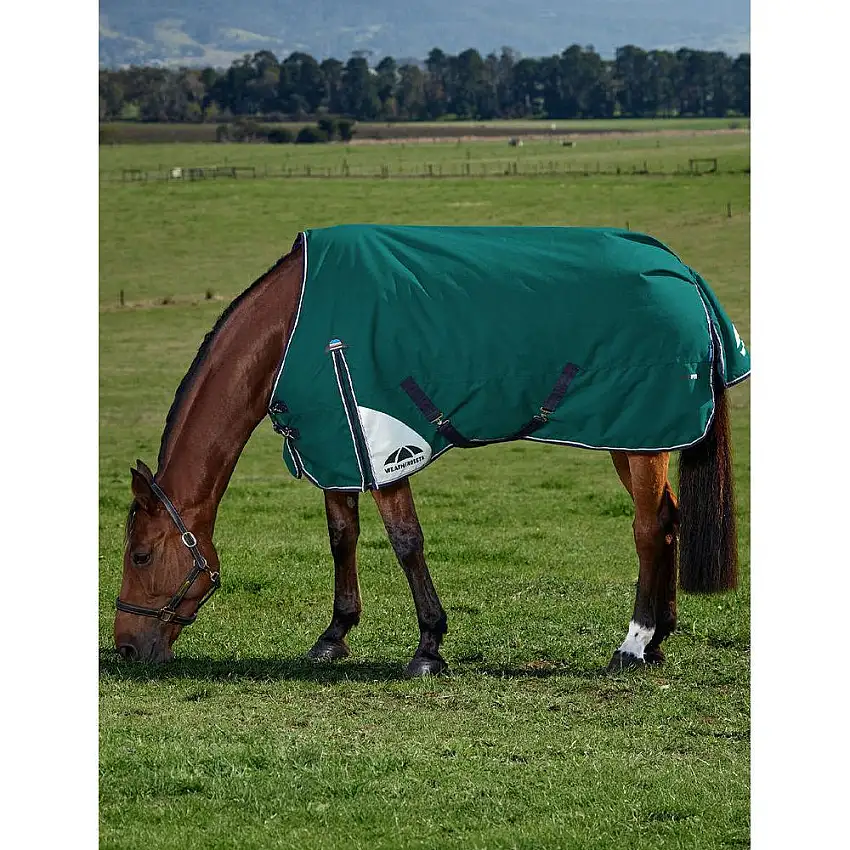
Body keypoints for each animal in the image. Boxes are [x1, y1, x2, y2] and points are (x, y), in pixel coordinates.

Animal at [114, 226, 747, 675]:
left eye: (140, 555)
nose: (124, 648)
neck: (293, 328)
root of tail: (684, 274)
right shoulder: (336, 446)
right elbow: (342, 537)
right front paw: (335, 634)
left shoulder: (385, 445)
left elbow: (406, 542)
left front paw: (427, 646)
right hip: (637, 435)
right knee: (669, 521)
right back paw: (659, 640)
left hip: (639, 436)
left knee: (649, 528)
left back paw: (634, 643)